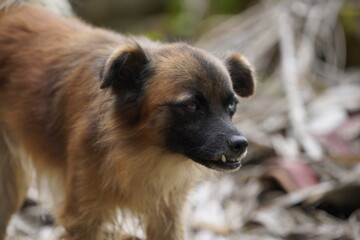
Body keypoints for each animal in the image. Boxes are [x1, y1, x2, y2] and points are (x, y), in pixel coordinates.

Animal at [0, 0, 255, 239]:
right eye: (191, 106)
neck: (140, 150)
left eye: (231, 105)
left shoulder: (167, 216)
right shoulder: (83, 217)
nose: (241, 144)